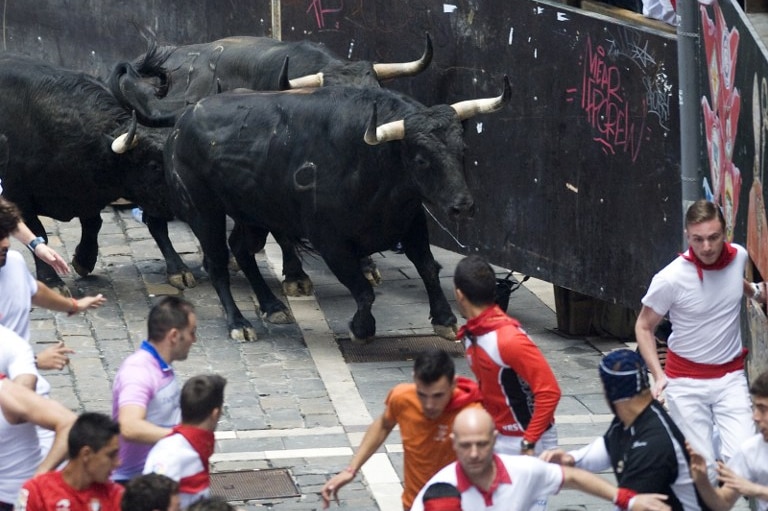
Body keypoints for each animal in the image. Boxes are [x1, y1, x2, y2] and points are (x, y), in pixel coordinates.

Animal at [164, 80, 510, 342]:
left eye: (462, 150)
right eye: (422, 159)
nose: (463, 206)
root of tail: (182, 121)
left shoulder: (411, 222)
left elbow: (427, 268)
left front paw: (445, 319)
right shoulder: (330, 242)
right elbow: (363, 289)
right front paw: (362, 328)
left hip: (253, 213)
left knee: (242, 250)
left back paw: (273, 306)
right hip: (204, 210)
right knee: (217, 263)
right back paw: (239, 323)